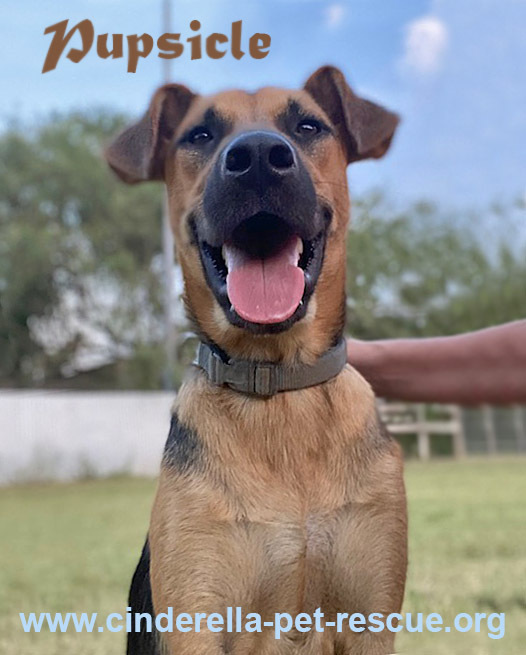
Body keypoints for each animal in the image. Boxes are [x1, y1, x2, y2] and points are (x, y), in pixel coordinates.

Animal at [107, 66, 410, 655]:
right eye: (200, 135)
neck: (279, 384)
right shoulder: (196, 616)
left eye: (308, 126)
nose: (258, 160)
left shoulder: (371, 617)